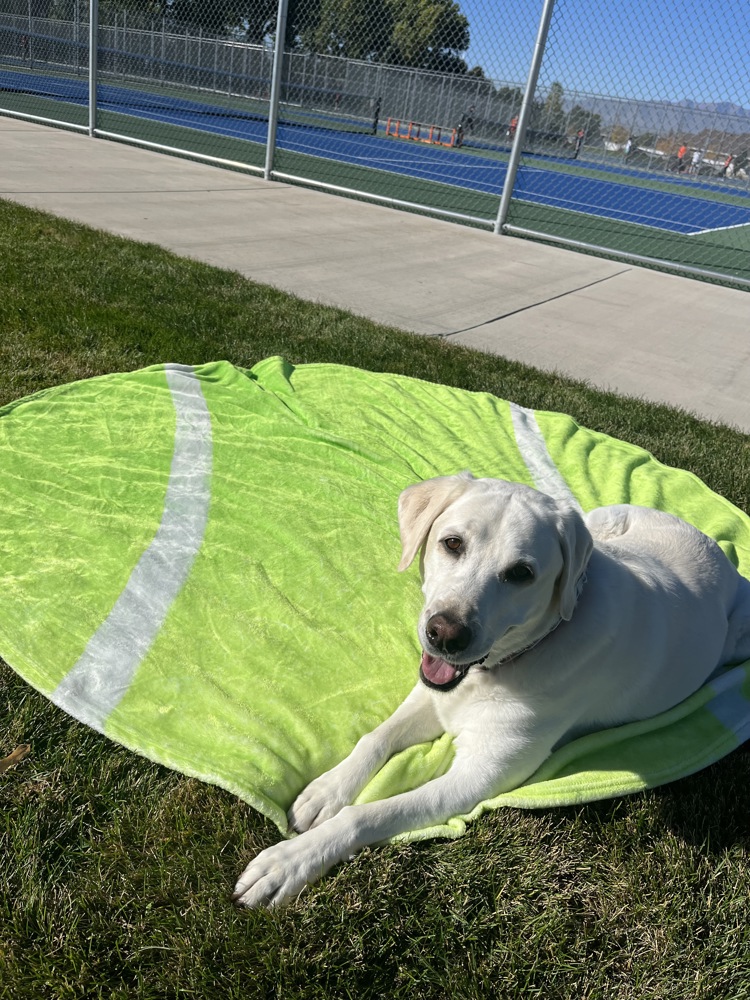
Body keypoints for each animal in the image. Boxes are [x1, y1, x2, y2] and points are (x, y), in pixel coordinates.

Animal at [234, 474, 750, 908]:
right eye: (452, 543)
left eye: (521, 573)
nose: (445, 634)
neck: (506, 664)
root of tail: (714, 545)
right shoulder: (434, 696)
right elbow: (374, 739)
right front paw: (325, 791)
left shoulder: (478, 776)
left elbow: (369, 814)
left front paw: (289, 861)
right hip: (603, 520)